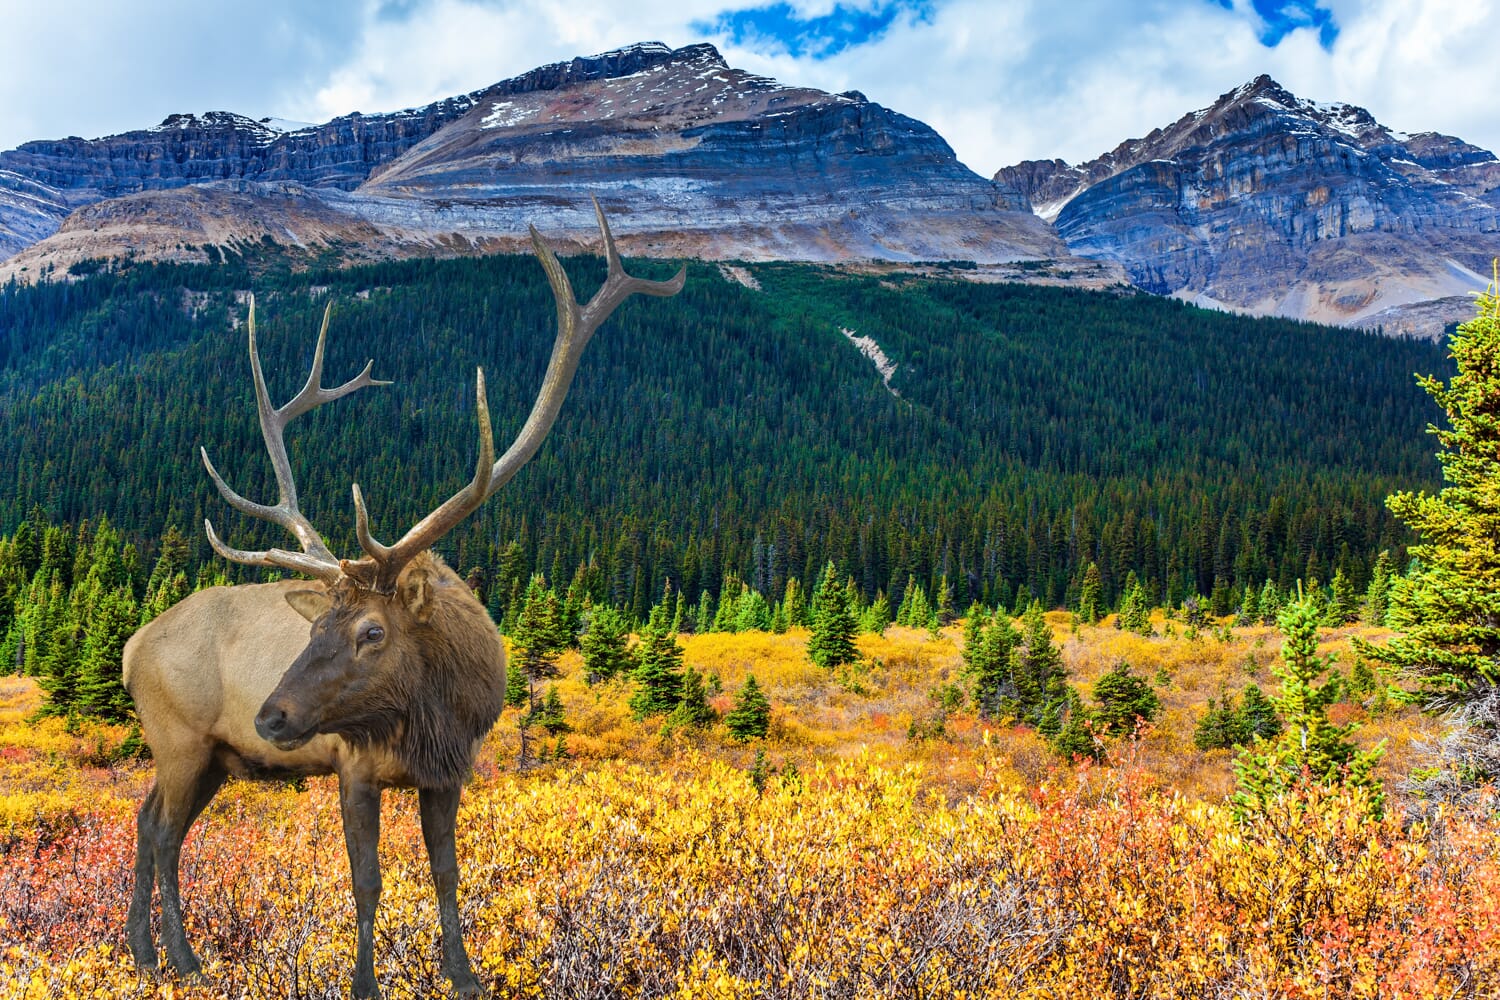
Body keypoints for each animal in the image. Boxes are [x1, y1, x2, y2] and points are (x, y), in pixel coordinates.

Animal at [123, 199, 687, 995]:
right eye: (315, 629)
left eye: (372, 632)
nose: (271, 714)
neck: (431, 712)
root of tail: (129, 648)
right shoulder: (352, 763)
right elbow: (368, 881)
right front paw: (364, 981)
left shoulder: (450, 772)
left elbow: (447, 872)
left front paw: (464, 973)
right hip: (180, 737)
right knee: (167, 833)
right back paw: (182, 959)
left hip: (208, 756)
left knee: (147, 823)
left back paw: (141, 951)